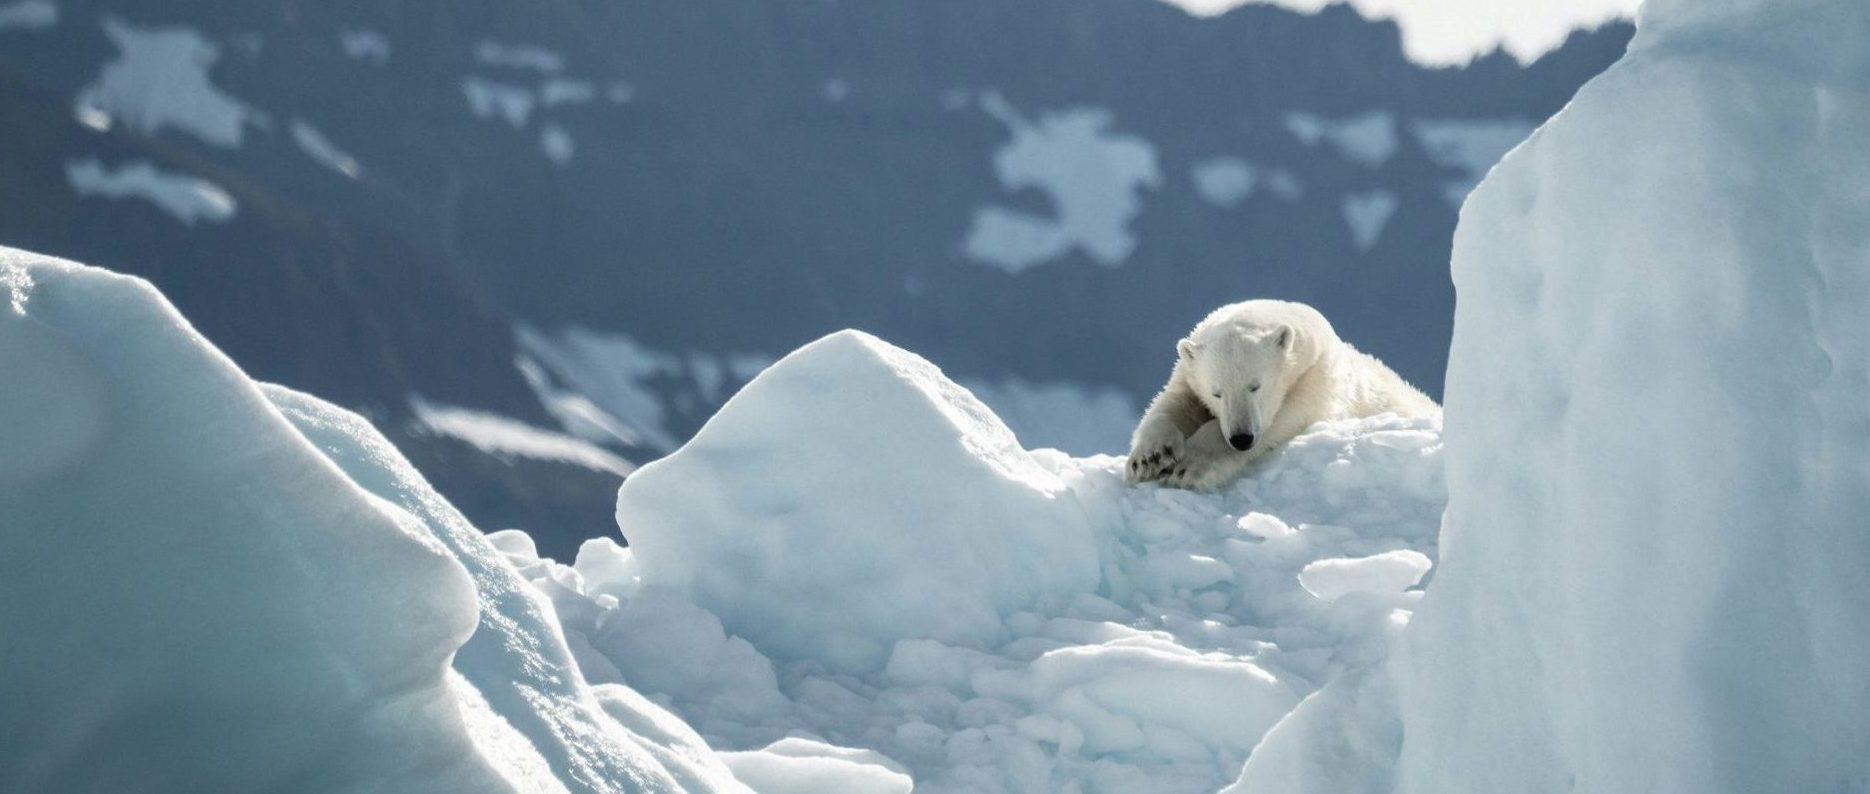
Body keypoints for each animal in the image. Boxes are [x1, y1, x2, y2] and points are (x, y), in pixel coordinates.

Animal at [1126, 299, 1438, 489]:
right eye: (1217, 393)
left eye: (1255, 385)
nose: (1241, 438)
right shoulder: (1188, 374)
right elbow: (1173, 403)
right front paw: (1150, 458)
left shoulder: (1314, 383)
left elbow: (1279, 421)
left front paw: (1189, 468)